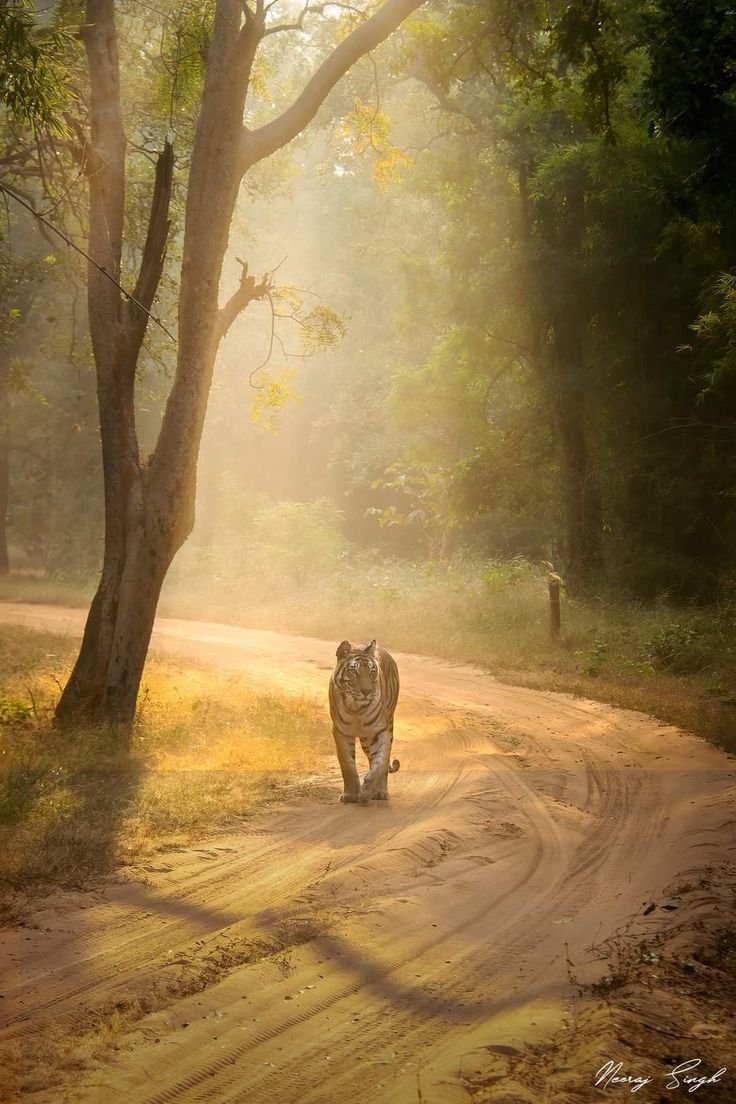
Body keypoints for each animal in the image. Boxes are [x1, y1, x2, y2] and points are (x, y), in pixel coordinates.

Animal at [328, 639, 400, 804]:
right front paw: (350, 794)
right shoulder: (340, 732)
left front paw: (367, 790)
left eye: (372, 673)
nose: (367, 692)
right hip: (365, 740)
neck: (356, 708)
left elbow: (380, 762)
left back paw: (380, 792)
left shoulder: (380, 731)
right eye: (354, 672)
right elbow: (347, 764)